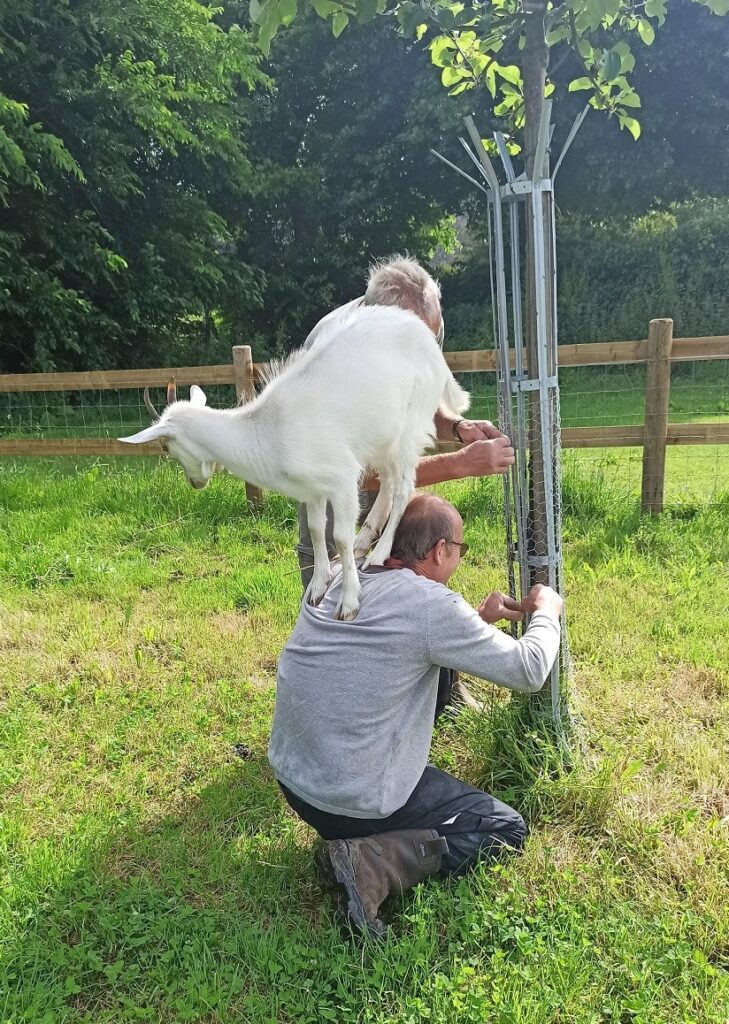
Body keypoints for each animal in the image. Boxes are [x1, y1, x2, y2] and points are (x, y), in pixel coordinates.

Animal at [118, 303, 466, 618]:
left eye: (165, 445)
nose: (195, 482)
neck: (267, 430)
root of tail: (431, 346)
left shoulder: (342, 478)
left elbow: (338, 537)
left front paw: (348, 602)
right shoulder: (312, 489)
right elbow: (315, 530)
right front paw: (317, 587)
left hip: (409, 426)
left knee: (405, 488)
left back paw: (377, 554)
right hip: (381, 439)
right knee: (389, 482)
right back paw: (365, 538)